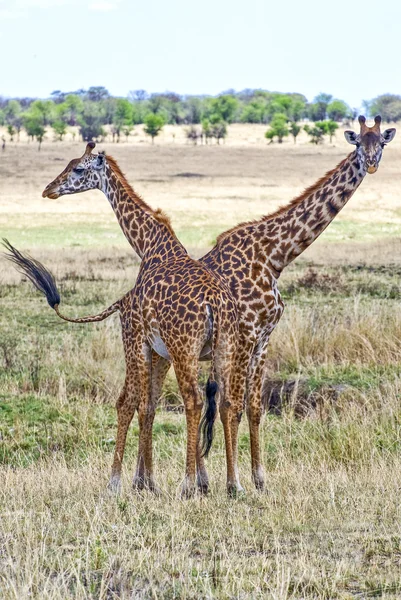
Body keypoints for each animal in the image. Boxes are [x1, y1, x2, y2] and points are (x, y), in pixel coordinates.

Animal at [4, 144, 239, 496]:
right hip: (225, 349)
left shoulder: (139, 339)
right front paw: (151, 481)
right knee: (227, 403)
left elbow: (136, 404)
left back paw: (186, 485)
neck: (150, 246)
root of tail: (215, 304)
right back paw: (233, 484)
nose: (48, 190)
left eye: (77, 169)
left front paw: (129, 483)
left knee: (193, 400)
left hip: (184, 349)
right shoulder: (161, 349)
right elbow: (149, 405)